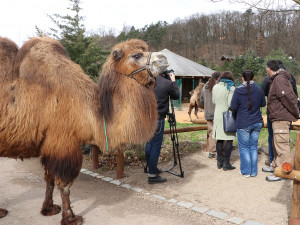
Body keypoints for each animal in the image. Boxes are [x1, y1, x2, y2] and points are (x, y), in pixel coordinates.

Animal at [0, 36, 169, 224]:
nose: (164, 58)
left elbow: (49, 179)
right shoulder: (63, 142)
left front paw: (49, 209)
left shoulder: (49, 145)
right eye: (136, 55)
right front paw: (71, 217)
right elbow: (64, 184)